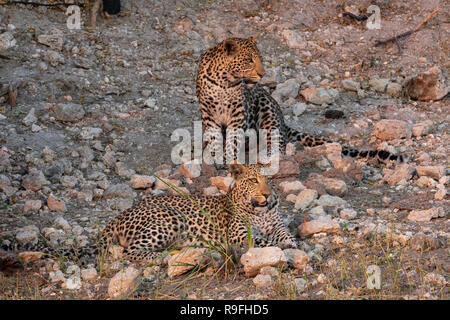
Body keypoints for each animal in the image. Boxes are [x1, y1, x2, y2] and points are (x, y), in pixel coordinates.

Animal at [98, 162, 296, 262]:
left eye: (268, 180)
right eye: (254, 180)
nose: (267, 194)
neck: (260, 211)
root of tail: (123, 213)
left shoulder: (278, 227)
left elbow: (288, 237)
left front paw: (291, 245)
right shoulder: (238, 235)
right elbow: (264, 241)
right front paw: (282, 247)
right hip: (170, 217)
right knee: (130, 251)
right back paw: (164, 255)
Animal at [195, 36, 406, 164]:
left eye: (259, 58)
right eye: (249, 60)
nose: (263, 74)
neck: (224, 82)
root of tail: (284, 122)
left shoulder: (239, 113)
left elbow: (233, 138)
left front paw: (227, 157)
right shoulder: (208, 113)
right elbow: (213, 136)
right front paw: (213, 156)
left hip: (267, 108)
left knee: (277, 142)